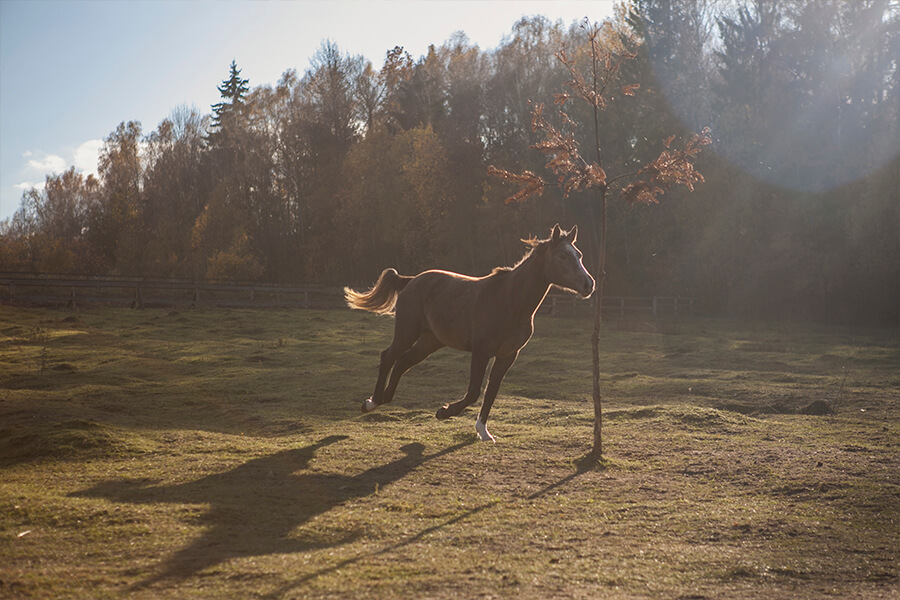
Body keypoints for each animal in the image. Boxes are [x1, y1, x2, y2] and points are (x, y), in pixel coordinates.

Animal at [342, 225, 592, 440]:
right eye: (562, 256)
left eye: (579, 255)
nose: (589, 284)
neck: (510, 300)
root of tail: (412, 280)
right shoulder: (481, 351)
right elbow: (474, 392)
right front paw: (443, 412)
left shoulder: (508, 355)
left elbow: (491, 392)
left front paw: (483, 432)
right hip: (407, 332)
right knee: (388, 357)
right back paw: (371, 402)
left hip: (430, 341)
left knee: (403, 362)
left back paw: (386, 397)